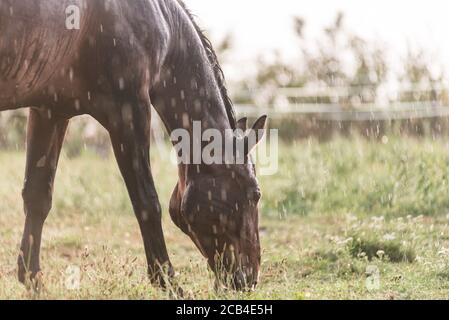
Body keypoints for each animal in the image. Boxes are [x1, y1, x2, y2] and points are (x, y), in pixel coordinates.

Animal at [0, 0, 266, 290]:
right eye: (255, 193)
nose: (248, 279)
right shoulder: (128, 110)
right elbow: (147, 202)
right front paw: (167, 282)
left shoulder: (50, 111)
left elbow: (37, 196)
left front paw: (32, 279)